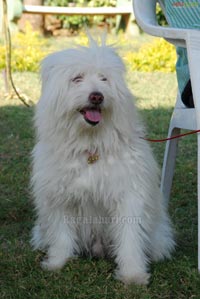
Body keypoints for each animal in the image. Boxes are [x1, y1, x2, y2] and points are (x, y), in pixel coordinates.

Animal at [31, 37, 175, 286]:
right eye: (77, 78)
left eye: (104, 78)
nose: (97, 96)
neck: (90, 146)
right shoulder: (60, 198)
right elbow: (61, 235)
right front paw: (58, 262)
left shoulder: (127, 197)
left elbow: (129, 239)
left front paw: (133, 274)